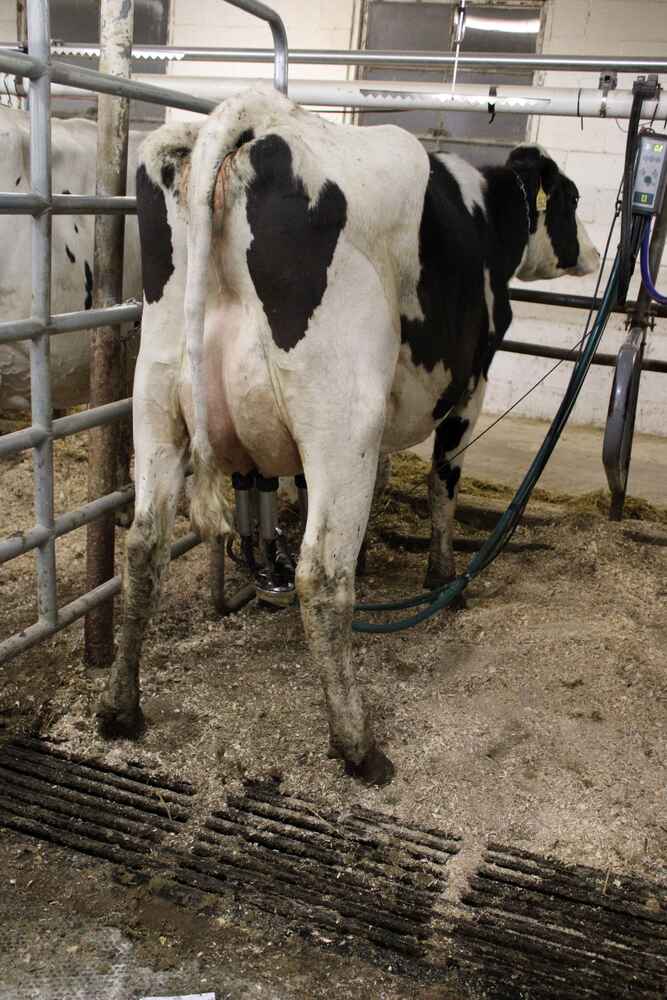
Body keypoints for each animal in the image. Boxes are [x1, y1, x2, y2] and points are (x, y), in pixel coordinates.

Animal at [97, 87, 599, 785]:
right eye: (572, 199)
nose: (593, 252)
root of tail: (254, 121)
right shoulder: (469, 386)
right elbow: (443, 484)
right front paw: (445, 581)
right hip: (340, 414)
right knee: (321, 574)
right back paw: (358, 746)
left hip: (157, 400)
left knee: (144, 547)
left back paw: (122, 709)